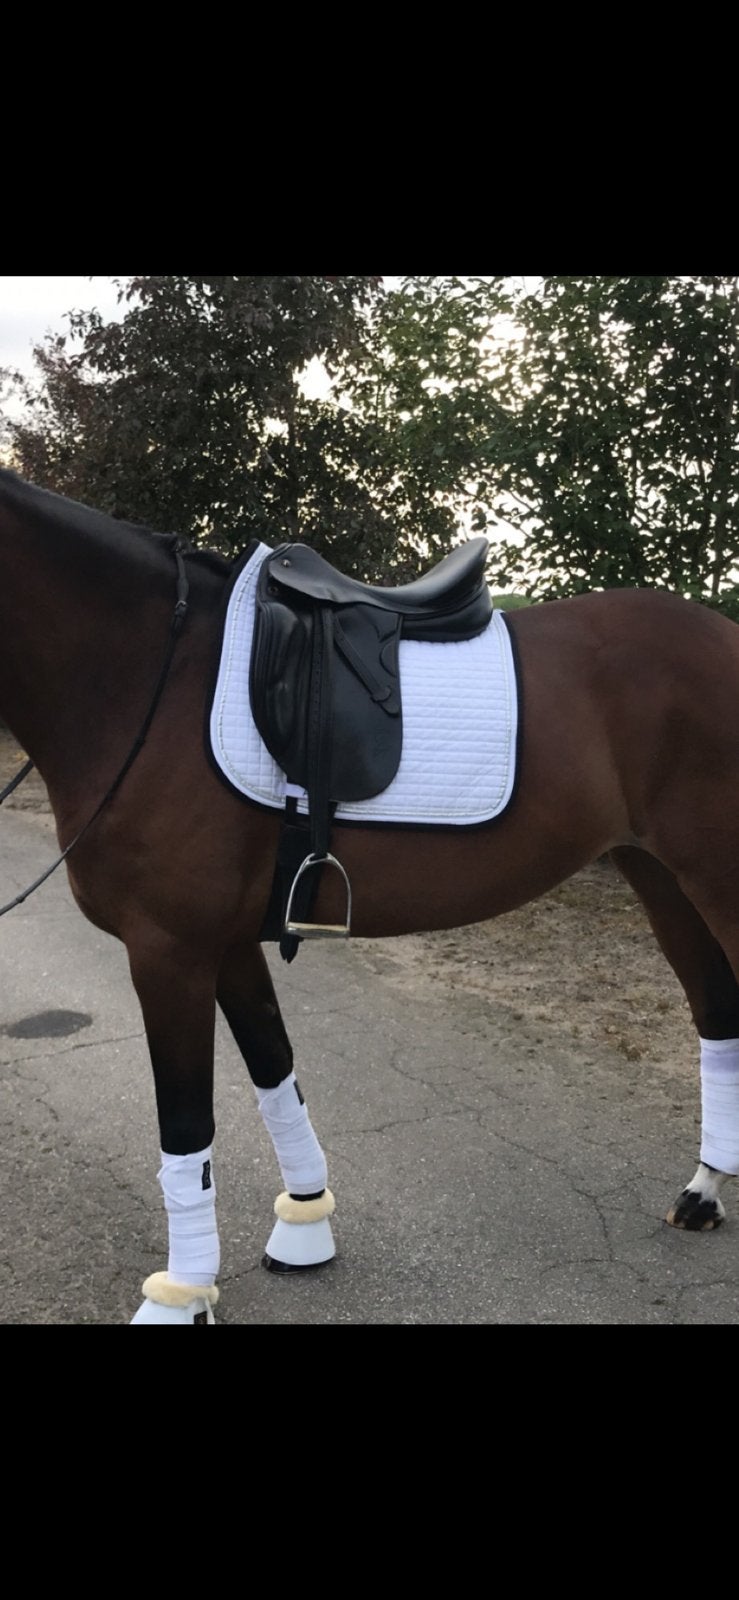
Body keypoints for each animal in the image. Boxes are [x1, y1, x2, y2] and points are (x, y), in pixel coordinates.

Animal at [1, 466, 738, 1325]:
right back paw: (703, 1192)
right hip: (658, 875)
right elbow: (274, 1071)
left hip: (711, 876)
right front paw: (304, 1226)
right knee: (716, 1010)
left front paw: (180, 1293)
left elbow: (186, 1127)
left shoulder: (167, 951)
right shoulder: (223, 943)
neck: (144, 671)